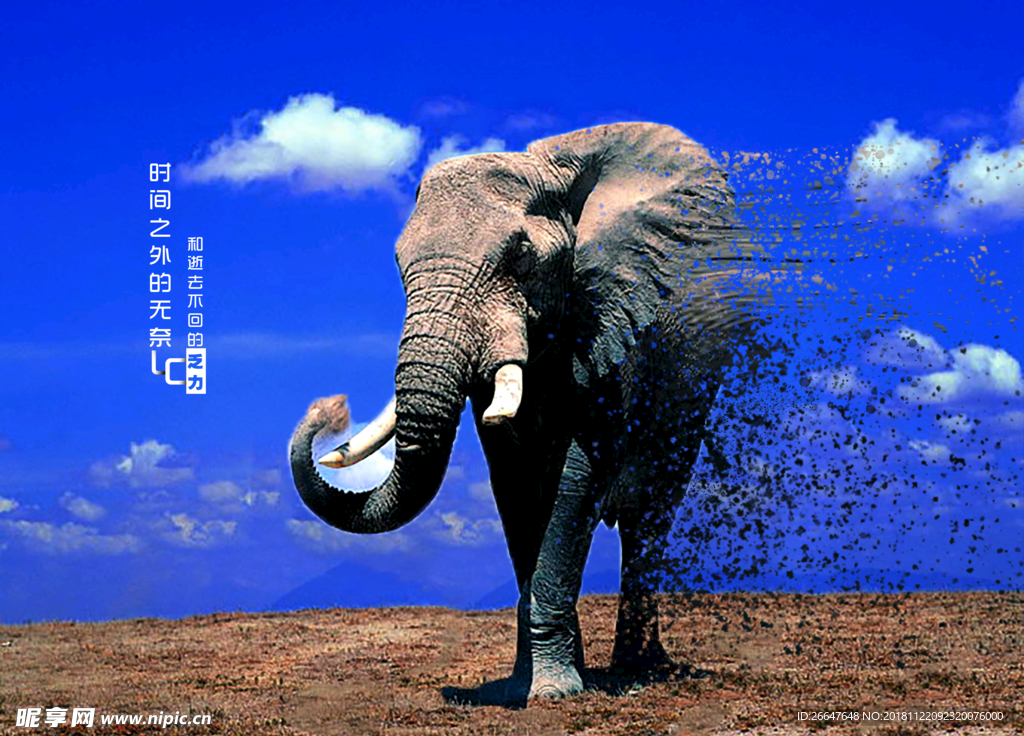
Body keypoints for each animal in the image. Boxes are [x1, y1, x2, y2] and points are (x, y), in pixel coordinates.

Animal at [289, 122, 808, 701]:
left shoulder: (611, 321)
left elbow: (576, 476)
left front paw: (554, 692)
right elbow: (513, 481)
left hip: (693, 384)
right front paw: (528, 685)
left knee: (650, 512)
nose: (329, 408)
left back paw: (638, 670)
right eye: (400, 262)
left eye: (520, 255)